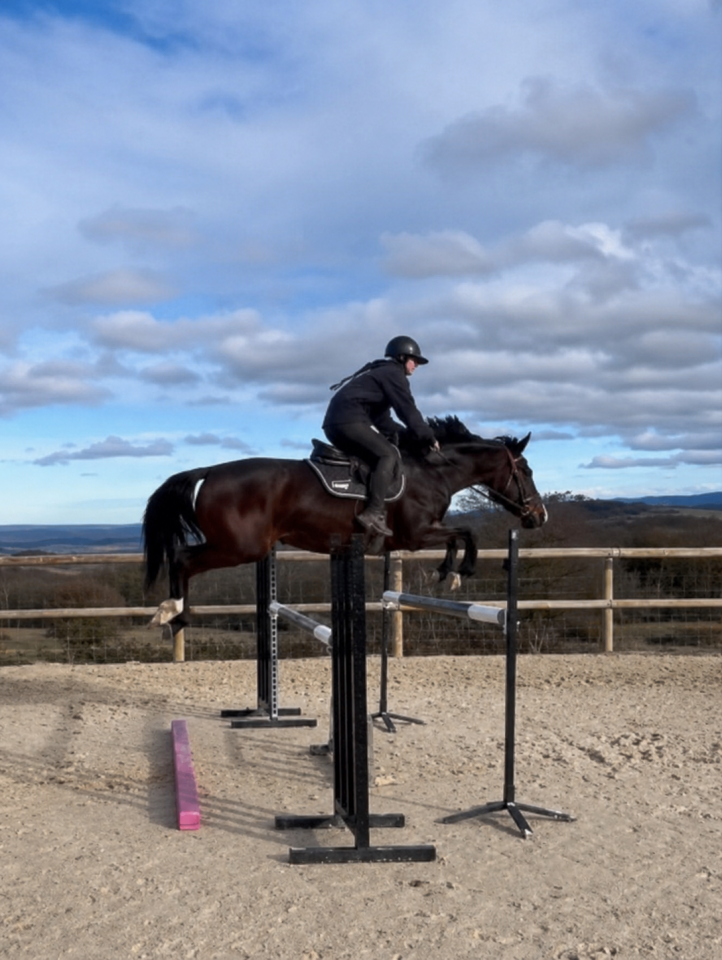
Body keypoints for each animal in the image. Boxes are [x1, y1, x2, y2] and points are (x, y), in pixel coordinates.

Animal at [143, 416, 547, 631]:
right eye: (526, 471)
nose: (539, 516)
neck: (432, 471)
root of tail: (210, 471)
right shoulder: (416, 535)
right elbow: (467, 533)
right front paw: (460, 572)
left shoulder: (419, 535)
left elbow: (456, 536)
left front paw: (447, 571)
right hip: (241, 547)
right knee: (182, 558)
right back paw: (172, 611)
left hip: (237, 546)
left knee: (182, 557)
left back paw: (176, 618)